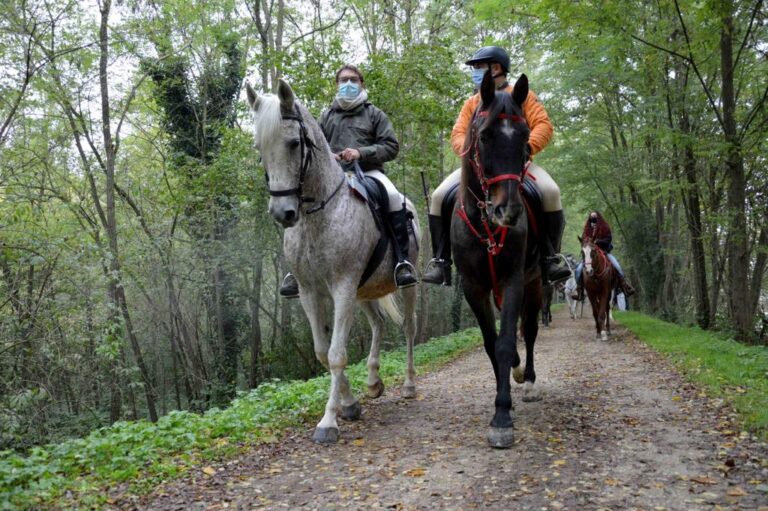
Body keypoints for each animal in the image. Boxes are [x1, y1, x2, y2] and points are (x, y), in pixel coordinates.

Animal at [245, 79, 419, 444]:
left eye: (294, 143)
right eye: (259, 147)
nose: (282, 213)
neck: (319, 213)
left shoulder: (341, 288)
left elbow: (338, 354)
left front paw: (328, 421)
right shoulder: (311, 293)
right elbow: (323, 352)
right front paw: (350, 405)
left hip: (404, 284)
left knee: (409, 328)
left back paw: (409, 385)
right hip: (363, 292)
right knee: (378, 325)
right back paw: (373, 382)